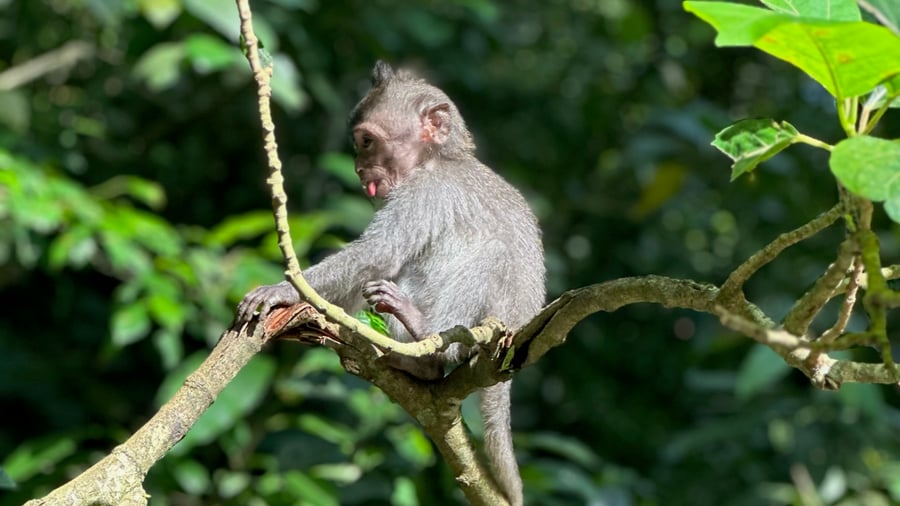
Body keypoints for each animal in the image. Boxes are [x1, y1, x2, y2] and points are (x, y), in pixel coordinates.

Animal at [237, 61, 545, 506]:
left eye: (366, 142)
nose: (357, 169)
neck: (437, 159)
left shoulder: (423, 191)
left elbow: (381, 252)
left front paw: (281, 290)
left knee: (489, 256)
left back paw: (424, 347)